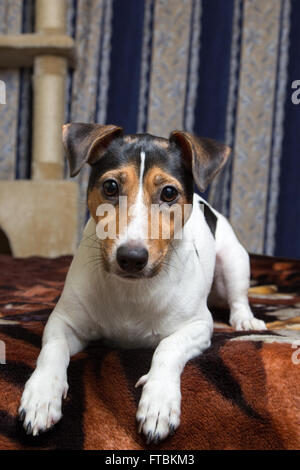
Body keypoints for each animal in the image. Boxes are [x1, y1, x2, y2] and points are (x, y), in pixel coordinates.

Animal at [18, 123, 266, 442]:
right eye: (110, 187)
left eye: (169, 193)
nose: (132, 257)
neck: (132, 290)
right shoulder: (63, 322)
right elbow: (52, 351)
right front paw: (42, 394)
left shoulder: (198, 327)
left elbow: (168, 347)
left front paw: (159, 401)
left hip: (235, 262)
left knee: (238, 298)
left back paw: (245, 320)